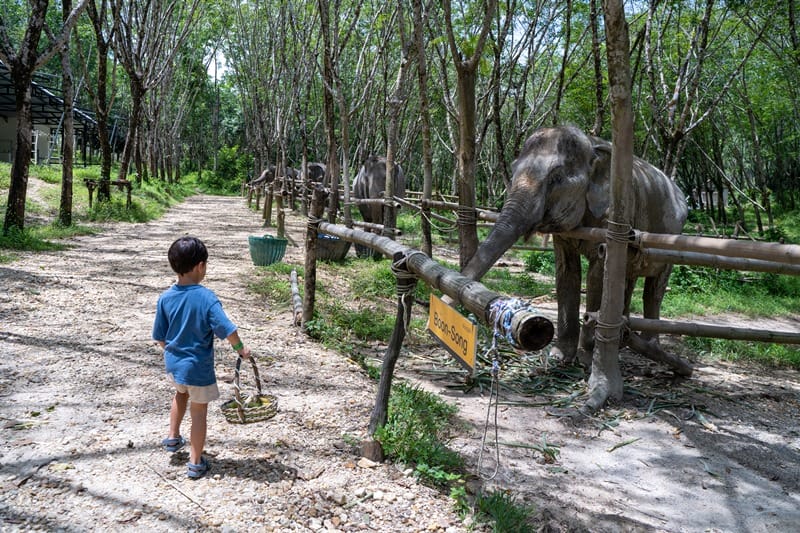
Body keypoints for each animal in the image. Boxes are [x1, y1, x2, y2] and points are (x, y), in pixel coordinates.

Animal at [461, 125, 688, 365]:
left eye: (557, 178)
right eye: (512, 171)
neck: (591, 144)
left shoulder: (614, 216)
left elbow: (598, 274)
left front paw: (586, 358)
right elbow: (567, 271)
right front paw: (560, 357)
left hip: (673, 239)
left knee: (654, 289)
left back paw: (649, 347)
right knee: (629, 280)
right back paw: (622, 341)